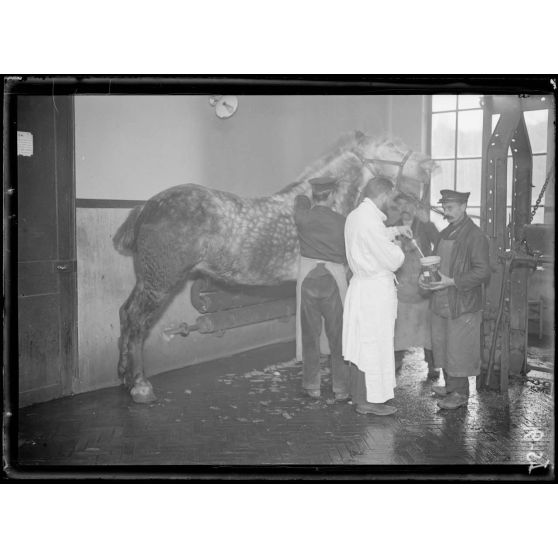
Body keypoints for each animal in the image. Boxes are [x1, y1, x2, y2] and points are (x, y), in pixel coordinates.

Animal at [114, 131, 438, 402]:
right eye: (392, 146)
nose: (432, 164)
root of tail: (147, 206)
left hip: (148, 280)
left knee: (126, 314)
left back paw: (125, 378)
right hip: (159, 282)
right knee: (137, 321)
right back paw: (140, 386)